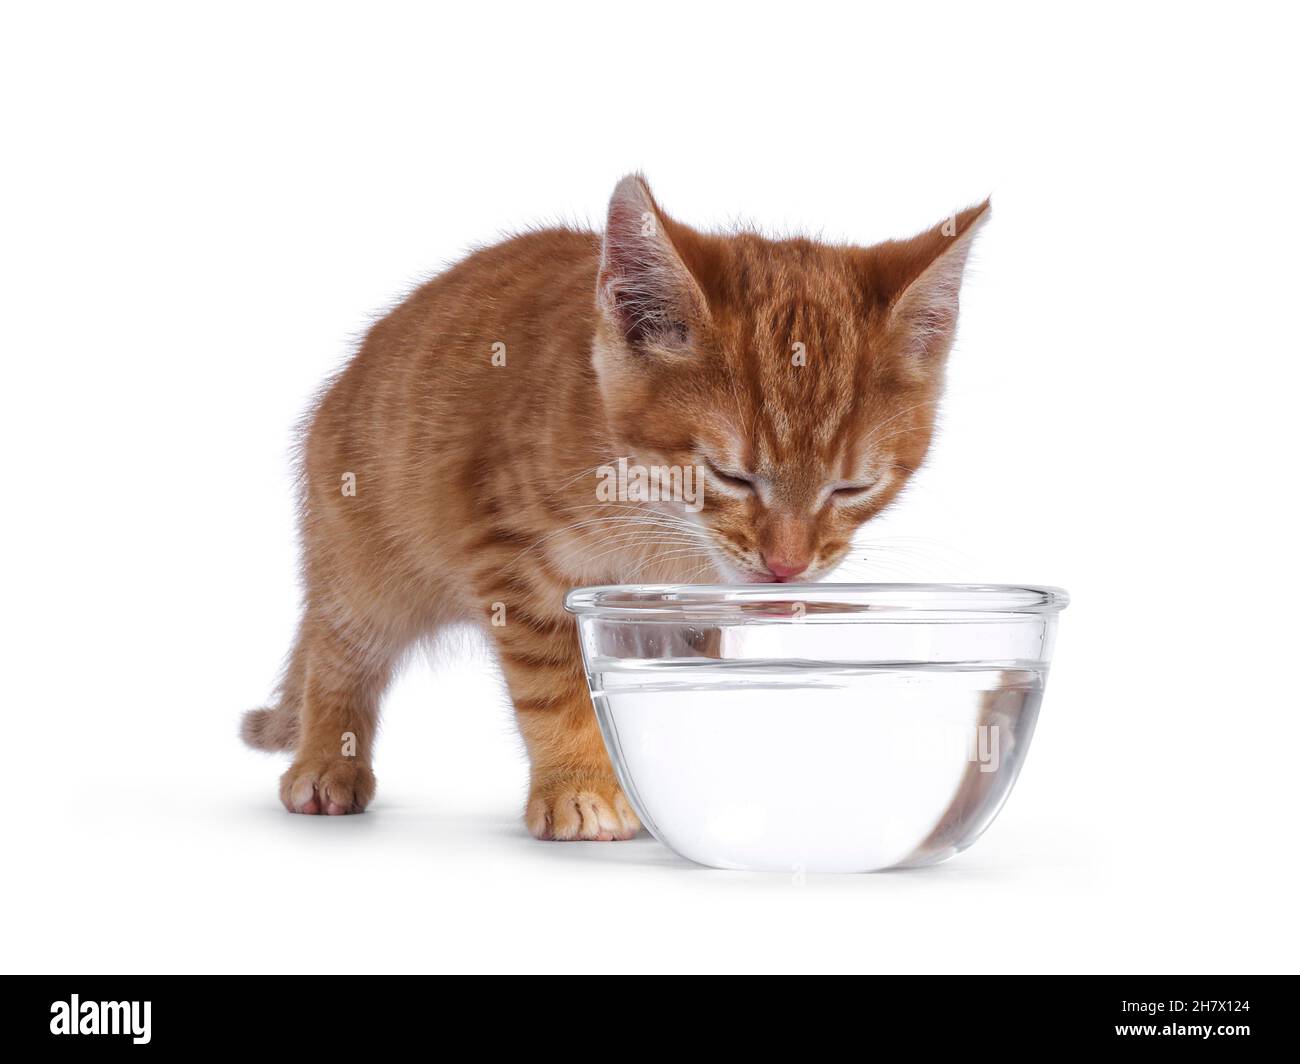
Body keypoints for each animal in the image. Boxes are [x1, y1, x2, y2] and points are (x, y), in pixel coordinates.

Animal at [244, 174, 987, 837]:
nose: (787, 566)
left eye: (853, 487)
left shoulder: (684, 607)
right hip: (363, 554)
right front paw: (581, 787)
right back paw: (325, 760)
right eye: (729, 475)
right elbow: (554, 686)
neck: (652, 513)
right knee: (339, 645)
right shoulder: (509, 556)